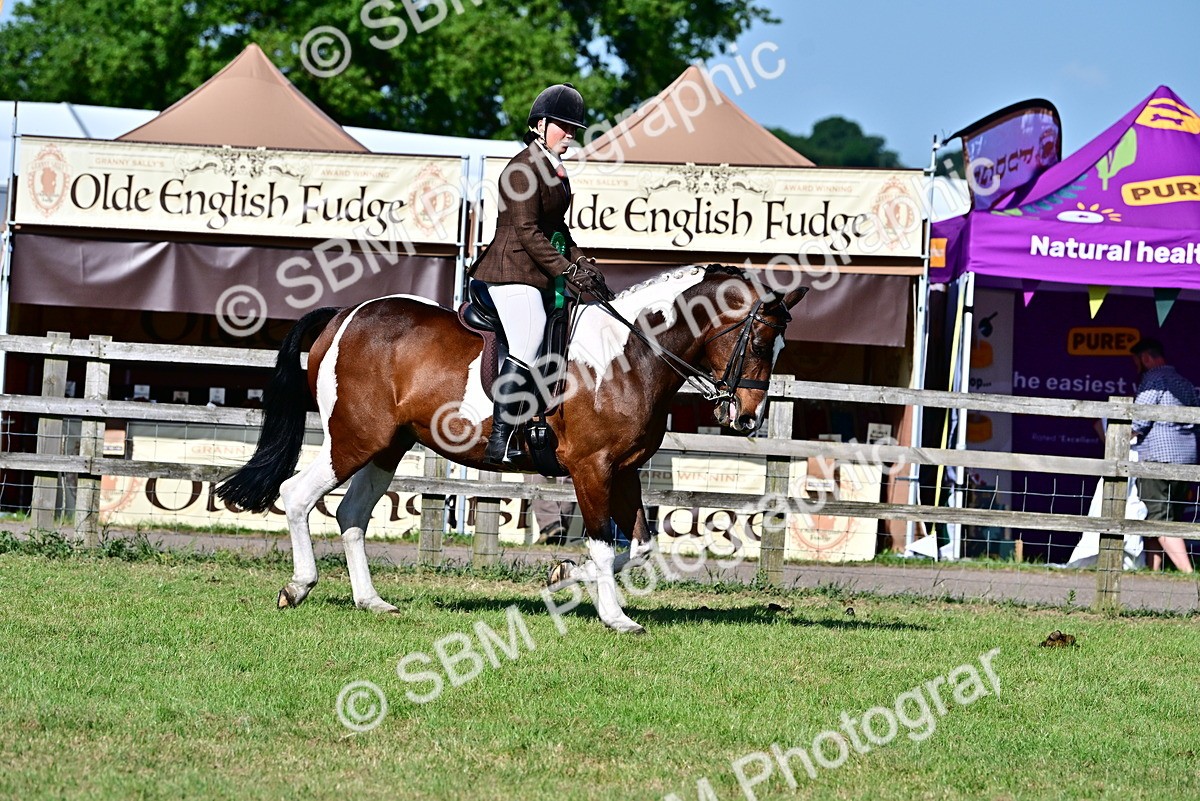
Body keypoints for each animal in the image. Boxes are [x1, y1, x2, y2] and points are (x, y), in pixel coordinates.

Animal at [215, 264, 807, 633]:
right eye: (758, 342)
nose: (747, 417)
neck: (628, 355)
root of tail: (345, 315)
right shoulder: (591, 468)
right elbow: (601, 542)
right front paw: (616, 617)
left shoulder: (625, 470)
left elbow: (636, 545)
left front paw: (566, 575)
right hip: (353, 439)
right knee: (297, 495)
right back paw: (298, 587)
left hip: (387, 446)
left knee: (352, 514)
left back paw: (372, 601)